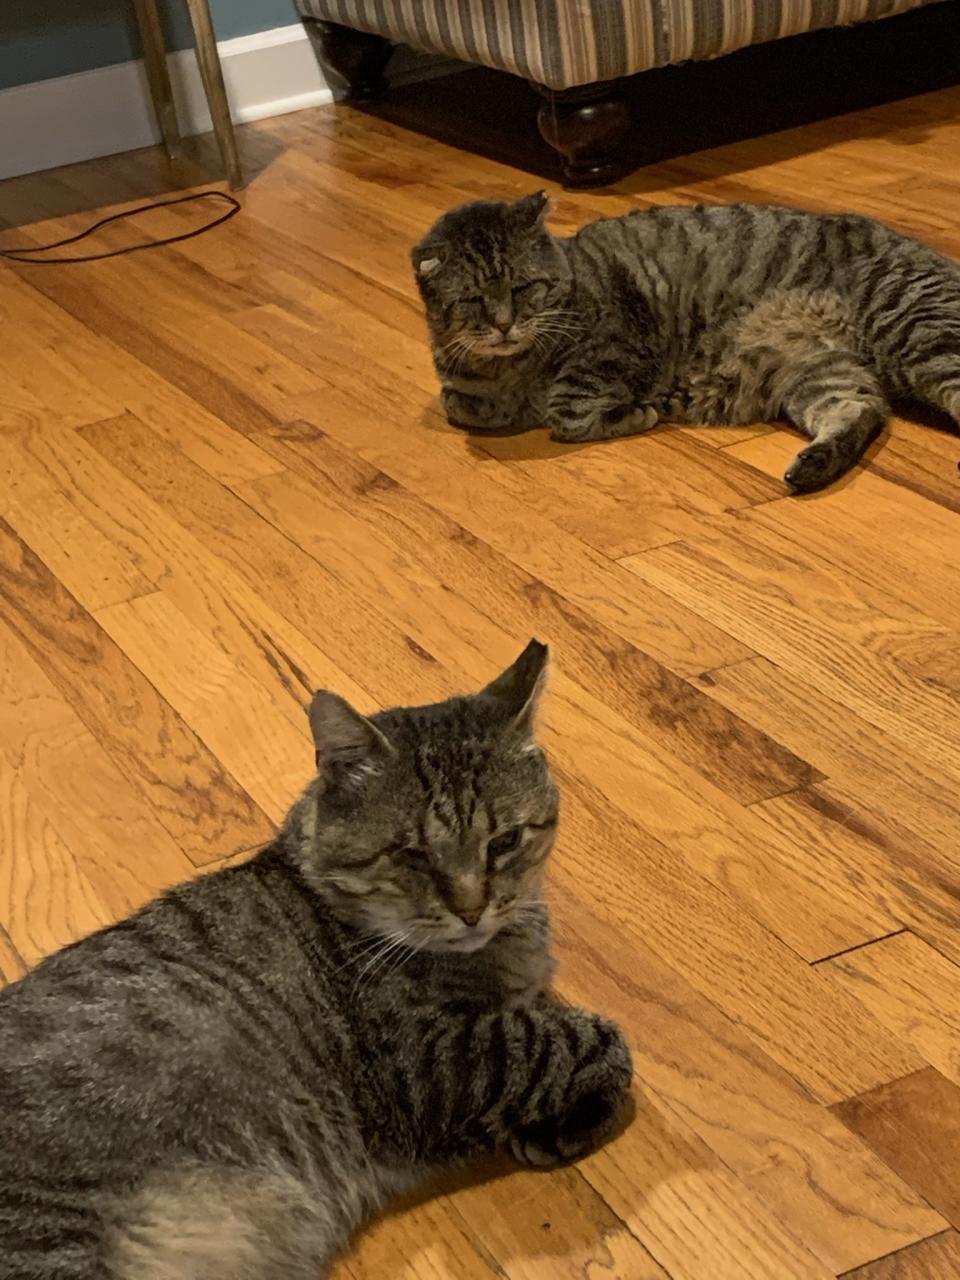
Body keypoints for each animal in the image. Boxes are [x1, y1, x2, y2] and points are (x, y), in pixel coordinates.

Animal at [0, 645, 632, 1280]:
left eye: (504, 842)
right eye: (413, 855)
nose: (472, 910)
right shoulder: (431, 1063)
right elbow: (587, 1038)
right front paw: (577, 1115)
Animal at [414, 193, 960, 488]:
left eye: (522, 289)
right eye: (473, 300)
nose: (505, 325)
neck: (509, 369)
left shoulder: (616, 344)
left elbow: (567, 408)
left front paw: (635, 413)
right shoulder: (462, 388)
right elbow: (459, 405)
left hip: (917, 331)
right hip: (819, 372)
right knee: (863, 409)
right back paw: (814, 465)